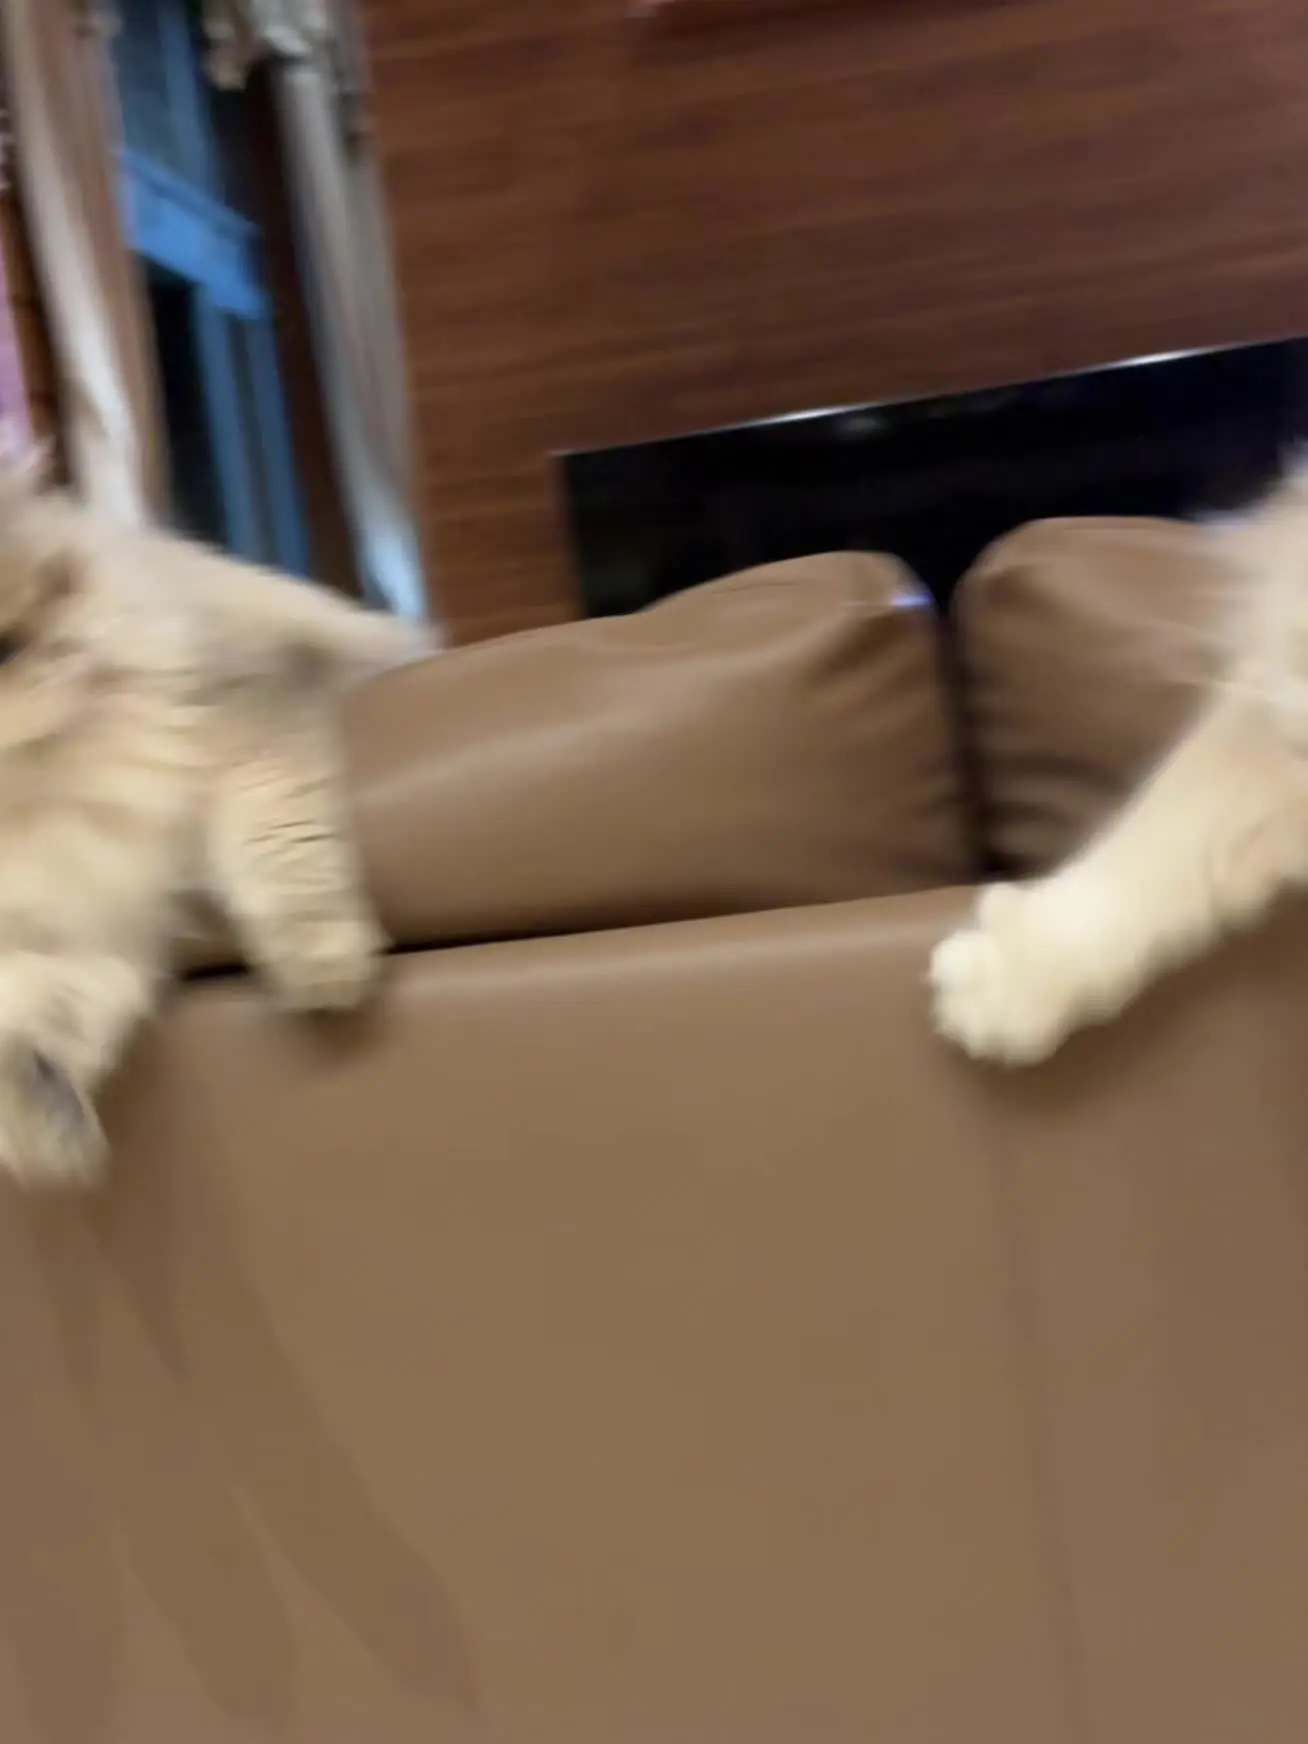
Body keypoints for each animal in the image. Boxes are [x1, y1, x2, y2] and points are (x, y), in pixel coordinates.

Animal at [0, 456, 430, 1185]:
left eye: (6, 646)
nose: (34, 659)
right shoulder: (74, 938)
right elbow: (38, 1029)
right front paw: (43, 1137)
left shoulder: (245, 707)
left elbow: (281, 846)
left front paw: (325, 970)